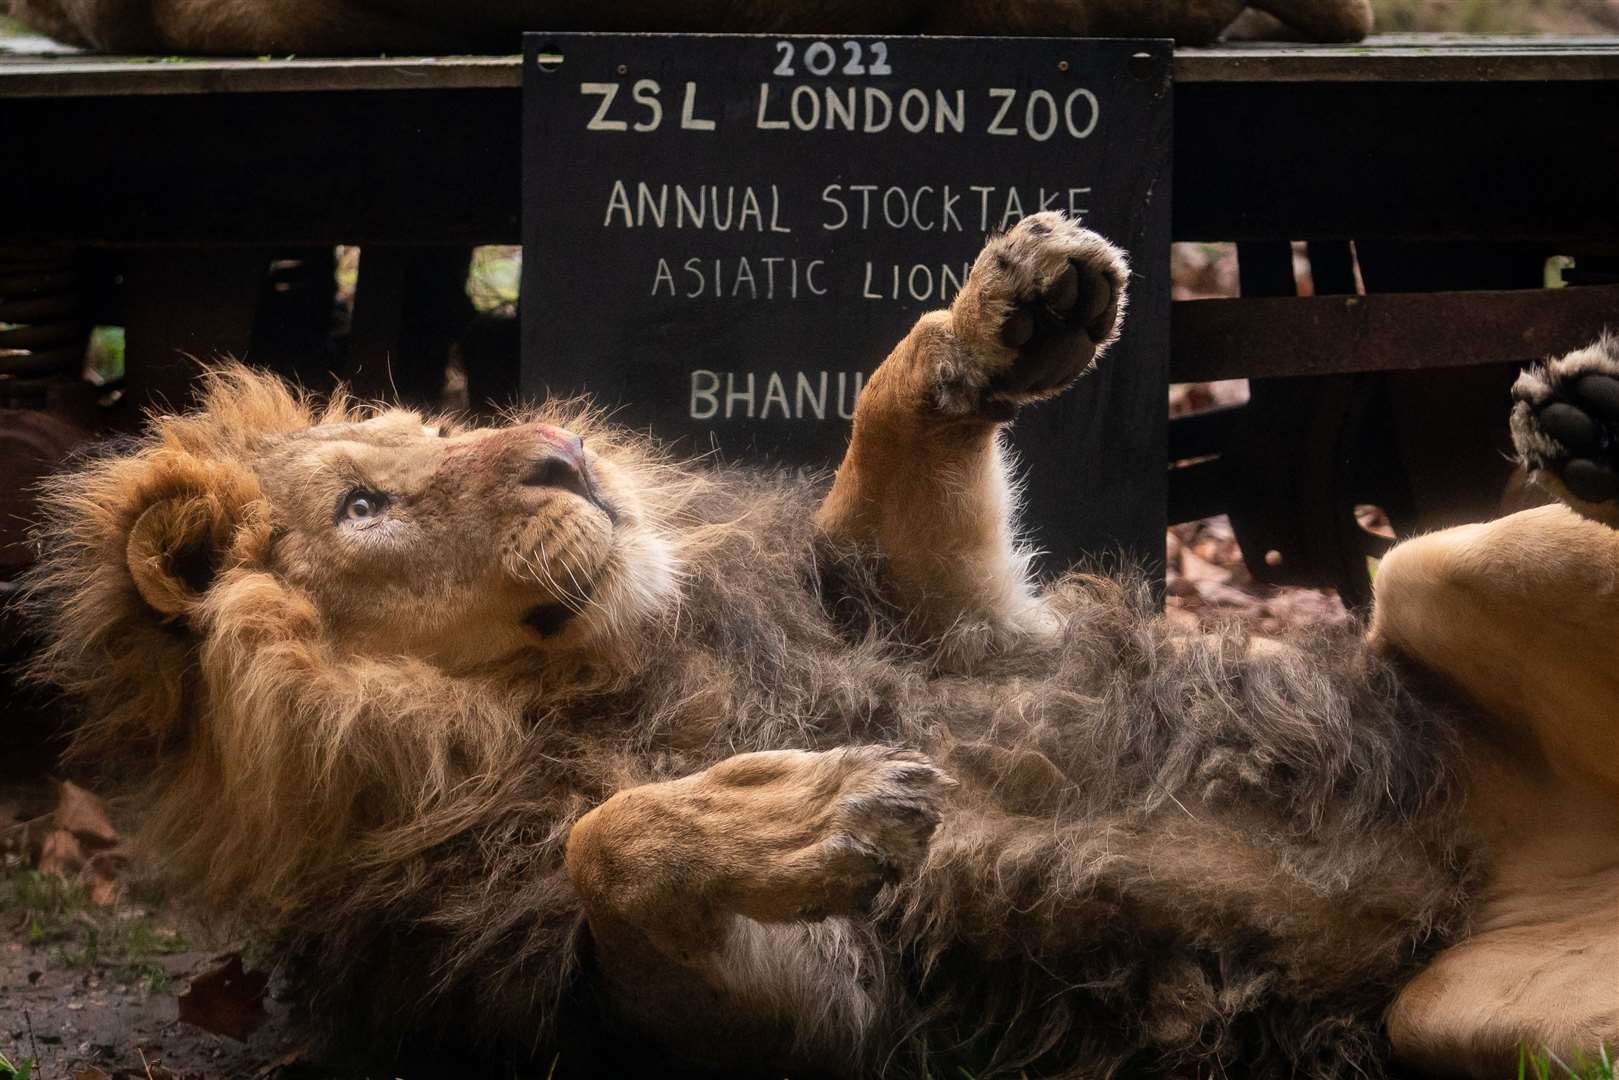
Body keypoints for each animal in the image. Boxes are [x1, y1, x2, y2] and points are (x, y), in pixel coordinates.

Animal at [25, 215, 1619, 1075]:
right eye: (363, 506)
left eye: (422, 430)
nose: (559, 455)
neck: (586, 678)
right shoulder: (756, 1015)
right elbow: (602, 846)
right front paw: (803, 802)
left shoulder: (951, 624)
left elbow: (889, 438)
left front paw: (1010, 307)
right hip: (1465, 1016)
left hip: (1422, 565)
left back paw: (1588, 419)